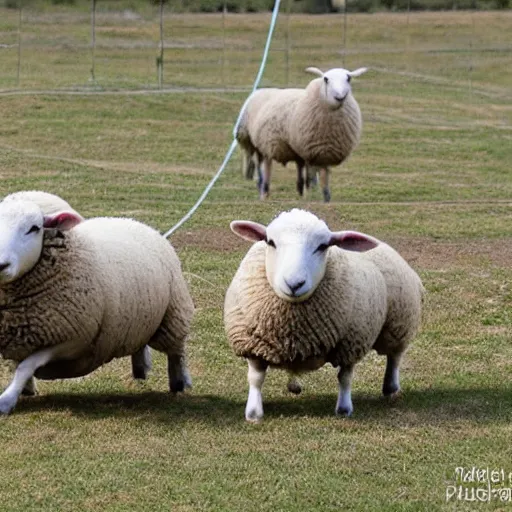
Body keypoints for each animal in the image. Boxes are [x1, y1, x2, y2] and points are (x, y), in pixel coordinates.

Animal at [0, 194, 194, 414]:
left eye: (34, 228)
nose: (1, 265)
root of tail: (130, 220)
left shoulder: (73, 341)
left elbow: (25, 367)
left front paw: (6, 400)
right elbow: (19, 365)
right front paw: (25, 390)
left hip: (173, 314)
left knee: (176, 353)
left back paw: (179, 382)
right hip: (140, 315)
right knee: (140, 343)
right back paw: (140, 368)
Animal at [224, 206, 424, 422]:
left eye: (322, 246)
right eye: (270, 242)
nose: (294, 284)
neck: (292, 327)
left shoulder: (350, 343)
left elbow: (345, 377)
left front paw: (344, 408)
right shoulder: (253, 344)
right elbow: (256, 378)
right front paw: (253, 413)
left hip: (399, 322)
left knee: (394, 356)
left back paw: (391, 388)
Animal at [236, 67, 368, 203]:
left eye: (349, 78)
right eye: (326, 79)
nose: (340, 97)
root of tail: (261, 90)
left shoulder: (323, 151)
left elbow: (323, 178)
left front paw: (325, 198)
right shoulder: (312, 149)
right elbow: (311, 175)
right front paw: (311, 193)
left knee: (297, 165)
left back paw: (298, 188)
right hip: (261, 141)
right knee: (263, 165)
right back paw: (263, 189)